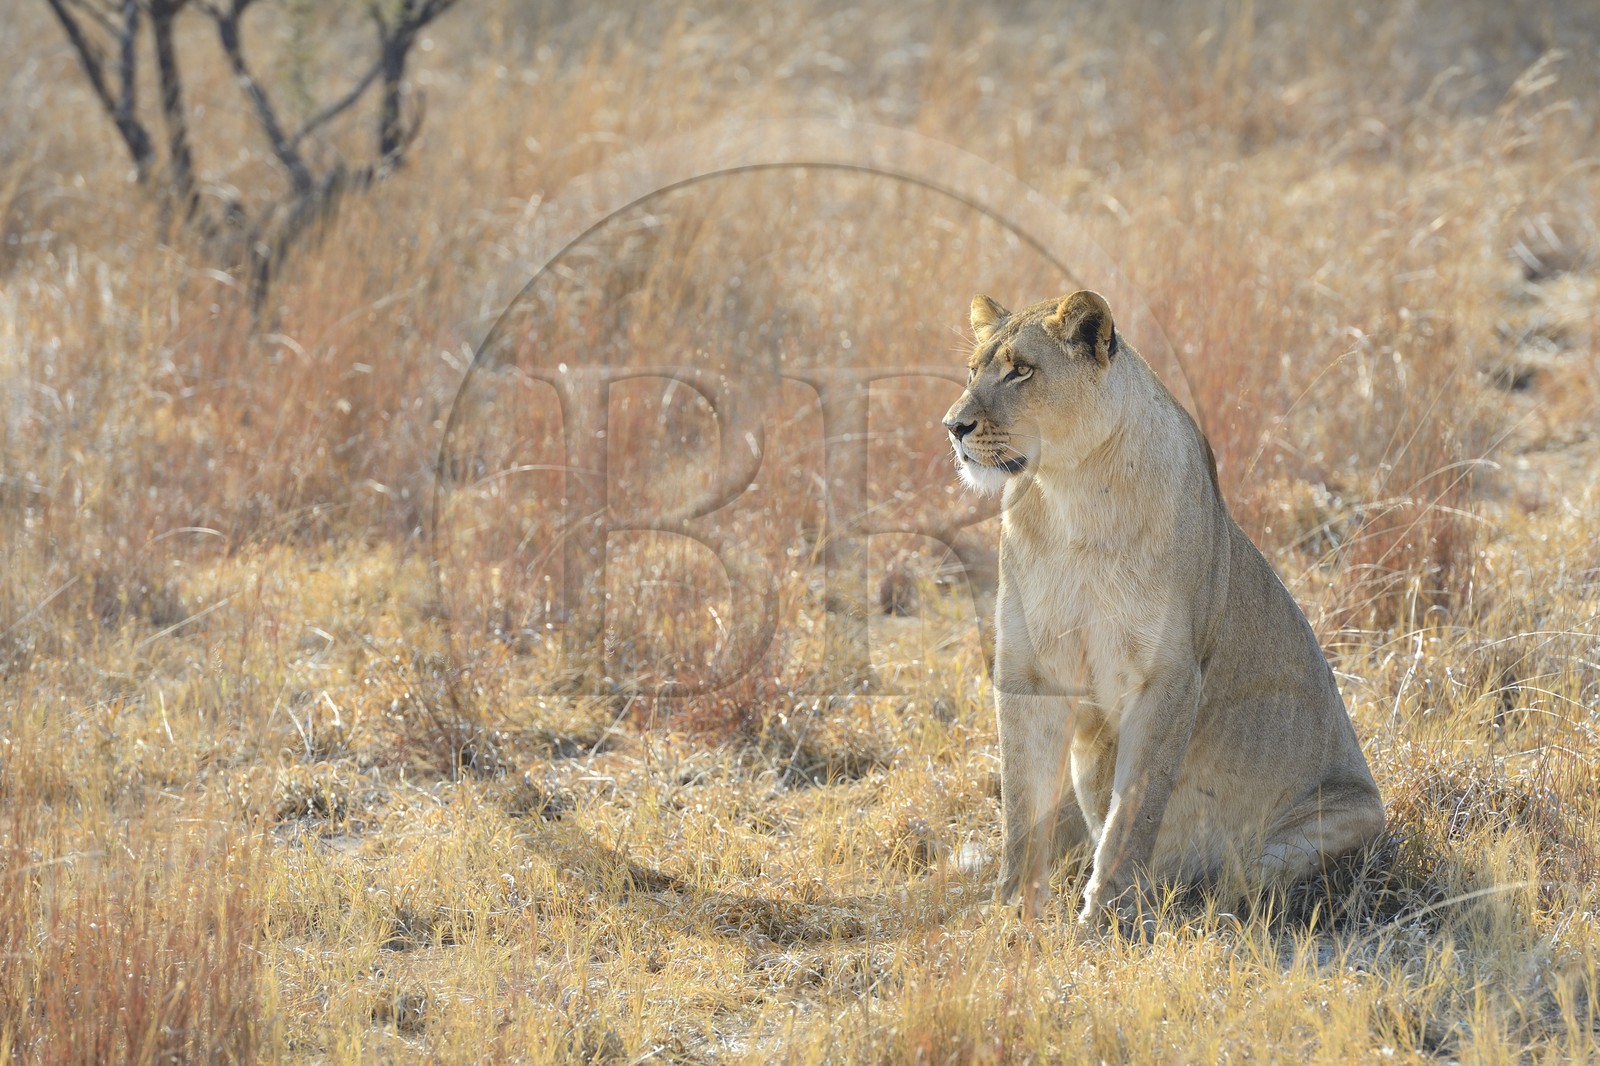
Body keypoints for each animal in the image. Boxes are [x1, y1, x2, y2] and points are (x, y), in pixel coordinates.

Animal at [942, 290, 1385, 930]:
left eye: (1020, 370)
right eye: (973, 371)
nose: (953, 426)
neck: (1074, 497)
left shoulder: (1169, 676)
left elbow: (1133, 812)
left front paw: (1106, 918)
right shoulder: (1028, 670)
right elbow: (1021, 806)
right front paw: (1009, 915)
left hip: (1345, 819)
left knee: (1240, 882)